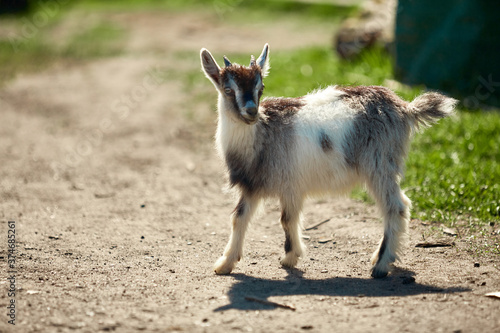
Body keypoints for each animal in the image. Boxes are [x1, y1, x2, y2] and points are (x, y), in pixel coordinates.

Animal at [200, 44, 458, 278]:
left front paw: (285, 258)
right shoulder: (266, 185)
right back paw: (382, 258)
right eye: (228, 90)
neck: (261, 133)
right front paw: (228, 264)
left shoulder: (281, 182)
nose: (252, 111)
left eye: (260, 88)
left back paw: (381, 265)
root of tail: (405, 108)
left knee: (396, 207)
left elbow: (280, 219)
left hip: (379, 164)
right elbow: (249, 218)